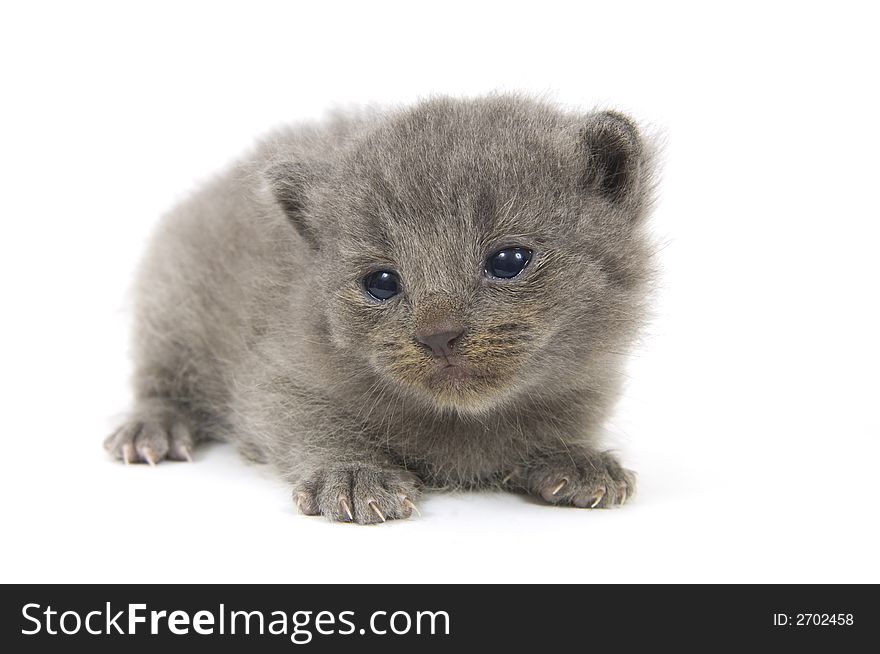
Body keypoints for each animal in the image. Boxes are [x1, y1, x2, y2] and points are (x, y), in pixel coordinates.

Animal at [105, 96, 652, 528]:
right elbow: (306, 421)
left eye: (509, 261)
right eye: (381, 283)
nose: (438, 334)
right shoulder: (277, 372)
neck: (462, 421)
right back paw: (152, 428)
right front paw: (352, 474)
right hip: (172, 307)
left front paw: (574, 460)